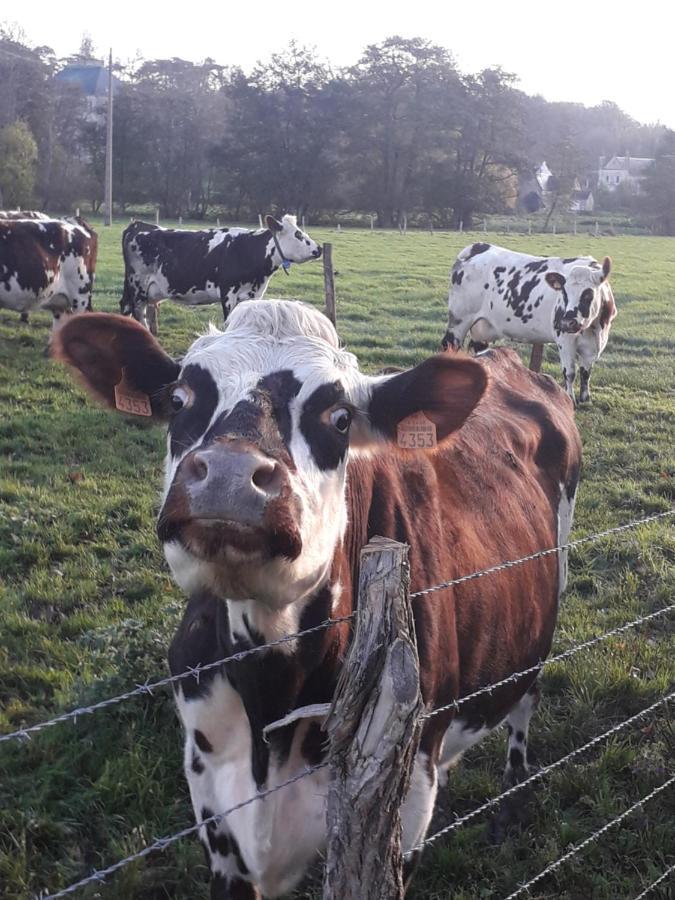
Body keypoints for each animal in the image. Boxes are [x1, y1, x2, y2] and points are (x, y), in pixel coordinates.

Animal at [52, 302, 580, 900]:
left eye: (340, 418)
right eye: (180, 399)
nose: (230, 475)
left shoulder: (402, 804)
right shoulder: (214, 807)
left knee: (526, 698)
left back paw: (512, 796)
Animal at [120, 216, 324, 336]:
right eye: (298, 234)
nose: (319, 248)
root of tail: (138, 225)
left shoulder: (254, 296)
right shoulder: (228, 293)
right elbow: (229, 324)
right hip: (138, 287)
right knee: (138, 314)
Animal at [444, 243, 616, 404]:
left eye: (588, 295)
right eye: (564, 293)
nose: (567, 322)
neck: (594, 328)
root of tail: (479, 246)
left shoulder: (593, 346)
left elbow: (586, 372)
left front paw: (586, 399)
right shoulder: (565, 339)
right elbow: (570, 372)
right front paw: (570, 399)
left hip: (481, 328)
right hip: (459, 320)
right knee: (450, 345)